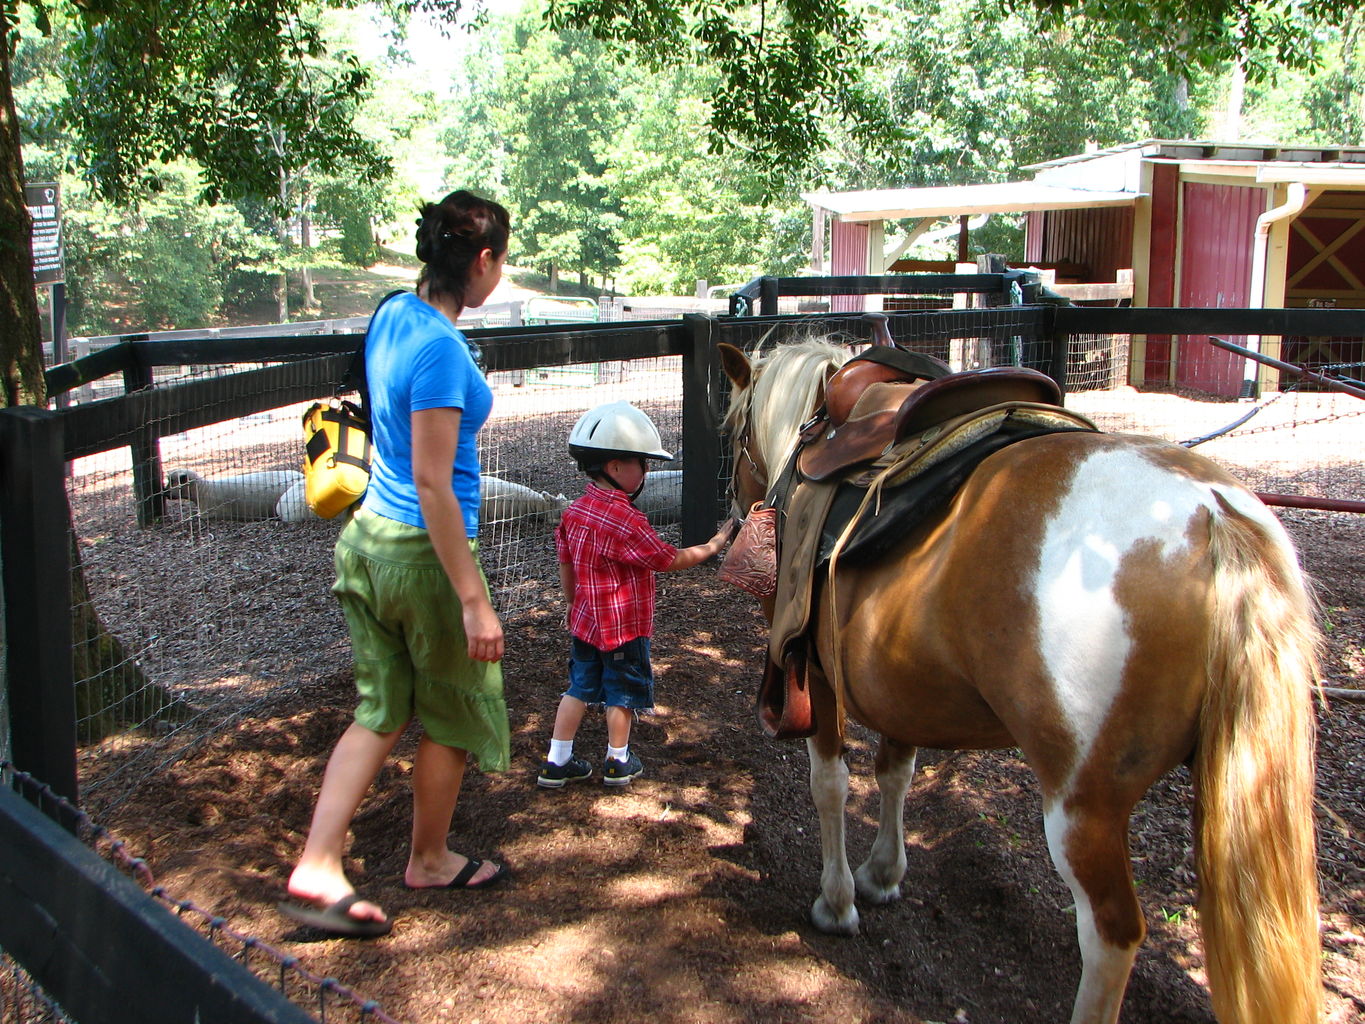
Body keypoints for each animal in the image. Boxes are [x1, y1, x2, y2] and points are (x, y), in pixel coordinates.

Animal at [715, 338, 1321, 1024]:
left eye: (733, 435)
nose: (736, 508)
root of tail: (1212, 516)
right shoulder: (903, 684)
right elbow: (896, 772)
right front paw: (883, 873)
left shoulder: (818, 677)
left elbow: (830, 785)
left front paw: (837, 900)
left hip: (1082, 810)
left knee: (1111, 934)